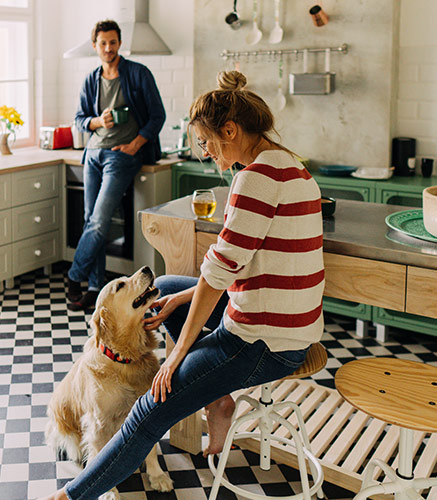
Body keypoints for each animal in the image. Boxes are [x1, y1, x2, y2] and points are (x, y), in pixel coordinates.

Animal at [45, 268, 173, 498]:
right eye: (120, 285)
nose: (147, 268)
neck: (124, 359)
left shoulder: (145, 409)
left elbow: (150, 449)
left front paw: (157, 476)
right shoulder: (98, 422)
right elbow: (100, 456)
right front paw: (110, 492)